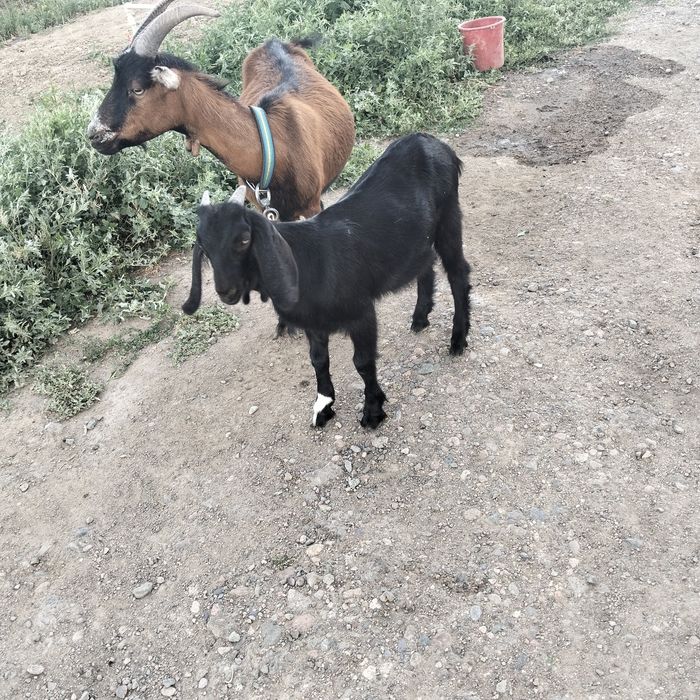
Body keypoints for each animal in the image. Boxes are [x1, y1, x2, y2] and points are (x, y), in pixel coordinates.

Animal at [183, 133, 472, 429]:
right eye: (204, 247)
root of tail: (431, 141)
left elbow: (363, 362)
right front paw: (324, 407)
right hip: (419, 237)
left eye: (243, 240)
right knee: (426, 264)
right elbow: (318, 360)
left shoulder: (361, 312)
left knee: (458, 273)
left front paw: (373, 411)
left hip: (449, 217)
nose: (225, 291)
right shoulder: (314, 323)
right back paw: (420, 318)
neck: (305, 263)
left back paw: (458, 340)